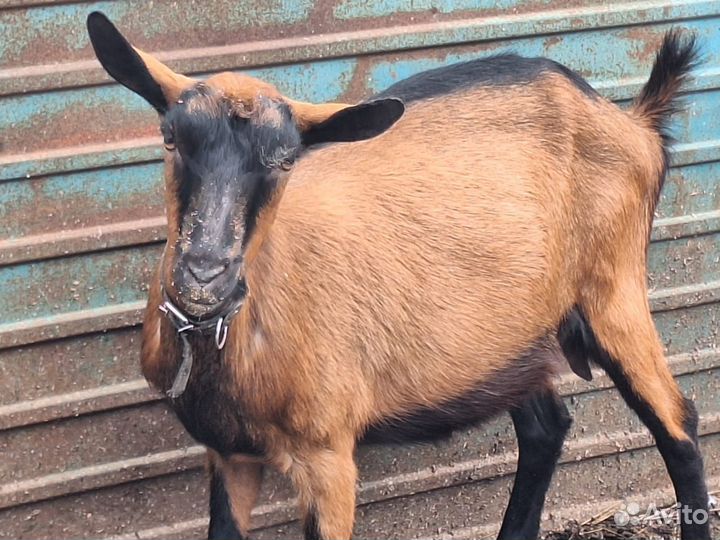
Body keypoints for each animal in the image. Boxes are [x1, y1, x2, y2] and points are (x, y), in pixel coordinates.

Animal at [87, 12, 710, 540]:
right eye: (171, 138)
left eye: (285, 161)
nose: (204, 273)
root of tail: (633, 121)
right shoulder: (228, 453)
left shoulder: (328, 456)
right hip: (507, 344)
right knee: (545, 427)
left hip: (614, 286)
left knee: (678, 425)